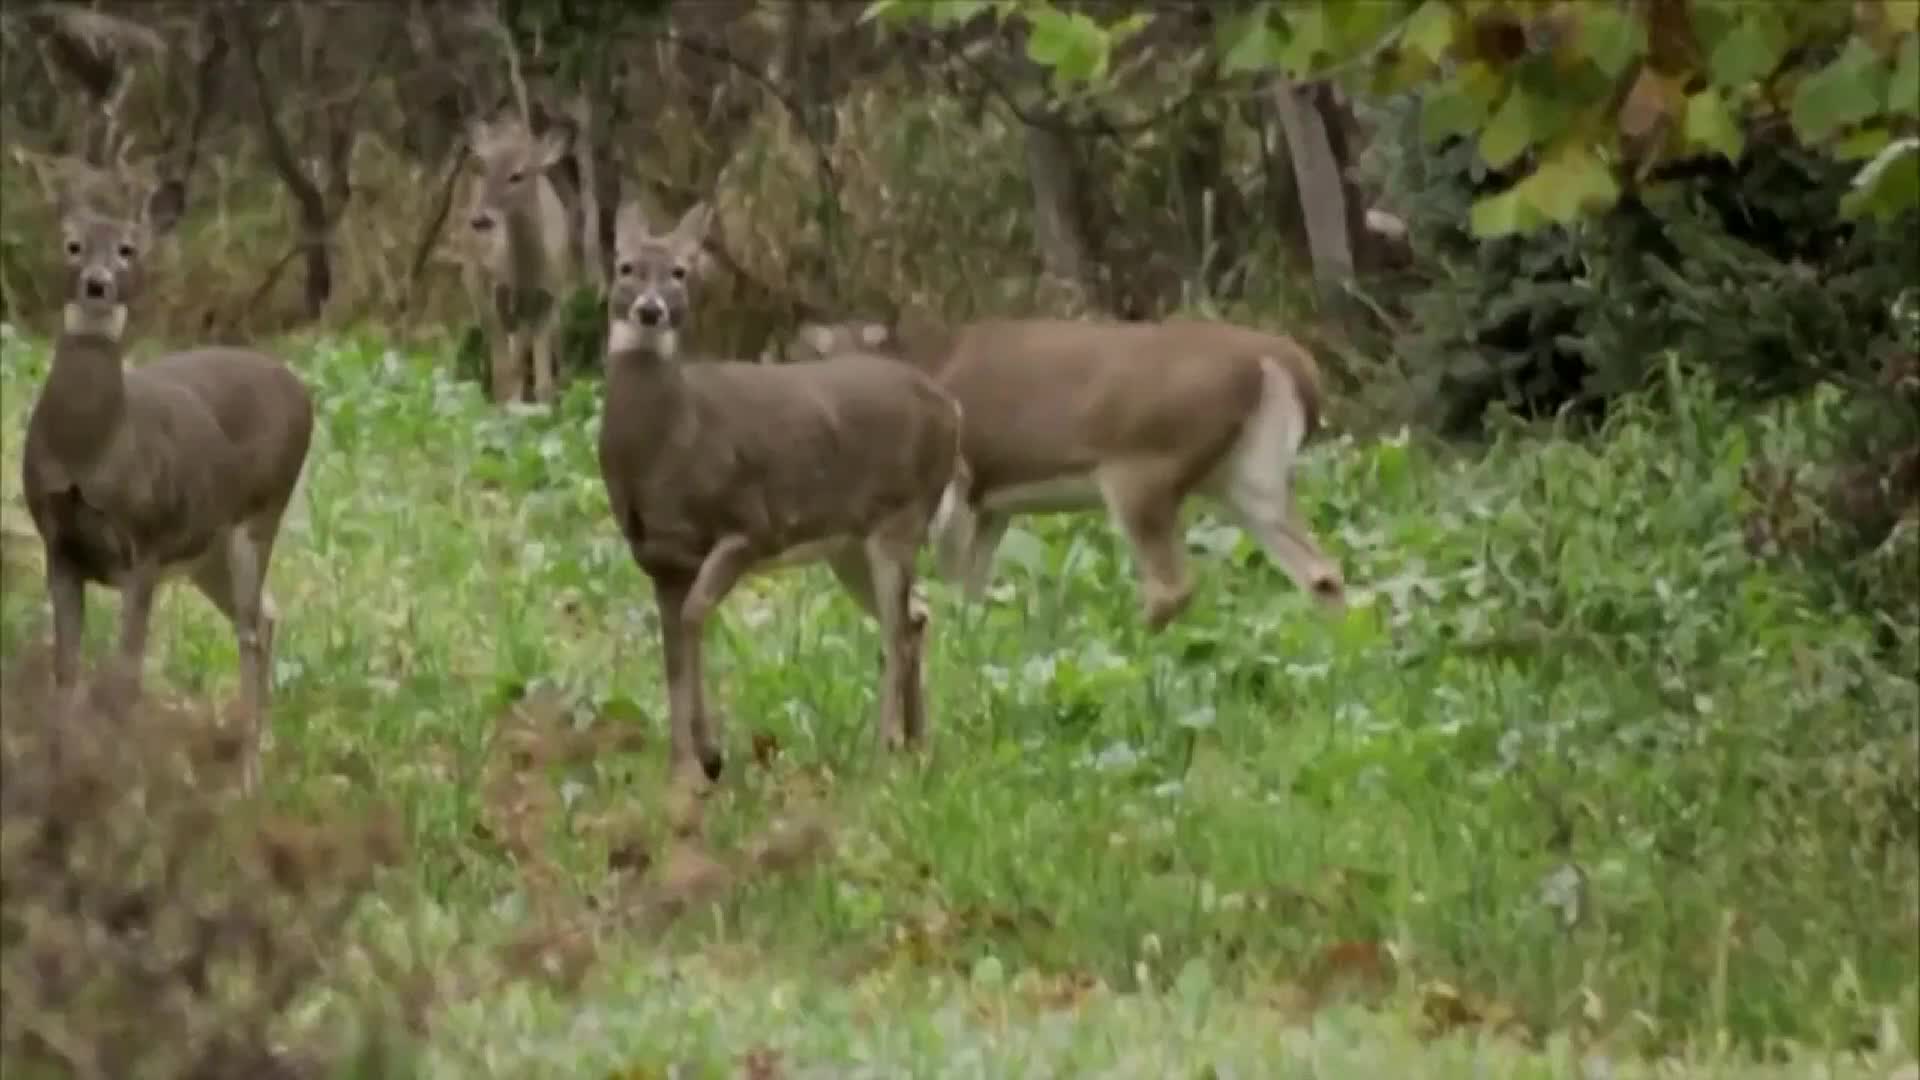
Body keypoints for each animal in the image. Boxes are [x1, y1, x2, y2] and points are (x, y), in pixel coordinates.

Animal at [20, 160, 315, 794]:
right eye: (72, 244)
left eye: (128, 249)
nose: (97, 283)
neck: (91, 450)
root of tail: (302, 389)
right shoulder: (59, 541)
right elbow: (66, 668)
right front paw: (55, 774)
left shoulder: (145, 542)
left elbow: (125, 676)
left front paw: (117, 784)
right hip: (205, 552)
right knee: (267, 615)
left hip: (259, 515)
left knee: (251, 629)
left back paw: (247, 776)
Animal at [464, 108, 585, 405]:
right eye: (485, 169)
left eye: (517, 175)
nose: (480, 219)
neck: (526, 271)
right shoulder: (498, 292)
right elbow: (506, 371)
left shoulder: (548, 297)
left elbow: (543, 383)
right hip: (475, 284)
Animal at [598, 198, 965, 791]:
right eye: (626, 266)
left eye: (680, 271)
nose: (651, 311)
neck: (669, 440)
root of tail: (952, 409)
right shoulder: (659, 559)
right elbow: (671, 649)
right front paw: (683, 766)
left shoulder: (751, 525)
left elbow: (695, 617)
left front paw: (709, 754)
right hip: (848, 544)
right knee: (917, 614)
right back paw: (917, 743)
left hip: (901, 514)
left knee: (895, 628)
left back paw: (882, 751)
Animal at [786, 313, 1349, 632]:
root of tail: (1281, 361)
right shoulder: (993, 505)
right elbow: (973, 586)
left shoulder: (959, 485)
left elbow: (951, 579)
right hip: (1250, 473)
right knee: (1321, 572)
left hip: (1142, 466)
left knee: (1172, 586)